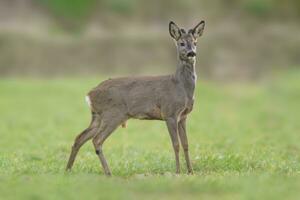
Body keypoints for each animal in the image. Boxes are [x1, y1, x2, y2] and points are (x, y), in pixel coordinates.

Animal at [66, 21, 205, 176]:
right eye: (181, 43)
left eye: (195, 42)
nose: (191, 53)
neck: (181, 86)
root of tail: (89, 94)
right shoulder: (170, 113)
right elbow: (176, 144)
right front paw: (178, 172)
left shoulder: (183, 116)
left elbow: (186, 144)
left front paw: (191, 172)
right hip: (113, 114)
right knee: (97, 140)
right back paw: (108, 173)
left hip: (97, 116)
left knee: (80, 137)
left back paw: (68, 169)